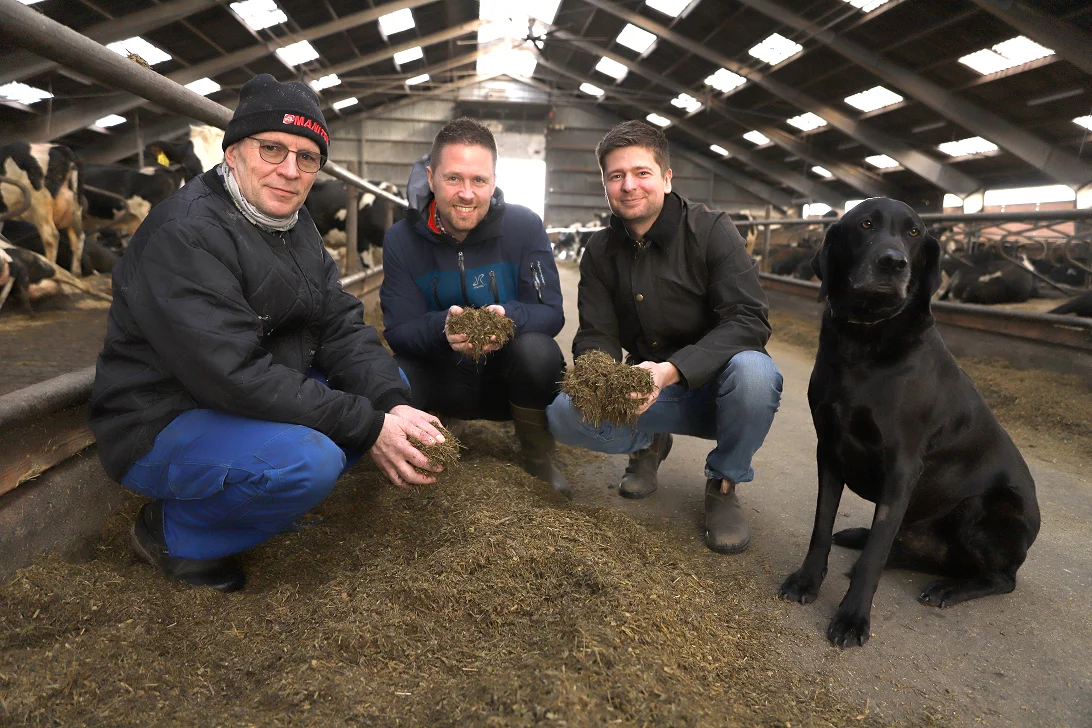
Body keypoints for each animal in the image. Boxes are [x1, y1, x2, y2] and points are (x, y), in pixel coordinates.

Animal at [0, 141, 84, 276]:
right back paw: (76, 273)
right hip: (75, 208)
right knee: (78, 237)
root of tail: (60, 148)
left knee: (51, 237)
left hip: (40, 204)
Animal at [777, 197, 1039, 650]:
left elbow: (875, 556)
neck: (864, 339)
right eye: (866, 224)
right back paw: (861, 538)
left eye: (914, 232)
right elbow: (821, 527)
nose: (893, 262)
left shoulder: (902, 468)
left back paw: (950, 588)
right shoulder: (828, 449)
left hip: (986, 506)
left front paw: (852, 619)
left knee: (1001, 578)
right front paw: (807, 581)